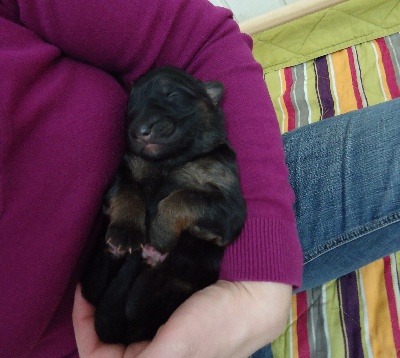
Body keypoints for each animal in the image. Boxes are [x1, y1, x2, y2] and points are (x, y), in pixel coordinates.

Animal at [81, 66, 247, 344]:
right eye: (130, 106)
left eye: (173, 94)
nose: (140, 131)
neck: (169, 161)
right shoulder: (124, 169)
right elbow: (128, 191)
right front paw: (126, 231)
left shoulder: (230, 206)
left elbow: (183, 197)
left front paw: (160, 231)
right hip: (97, 283)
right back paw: (117, 249)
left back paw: (154, 256)